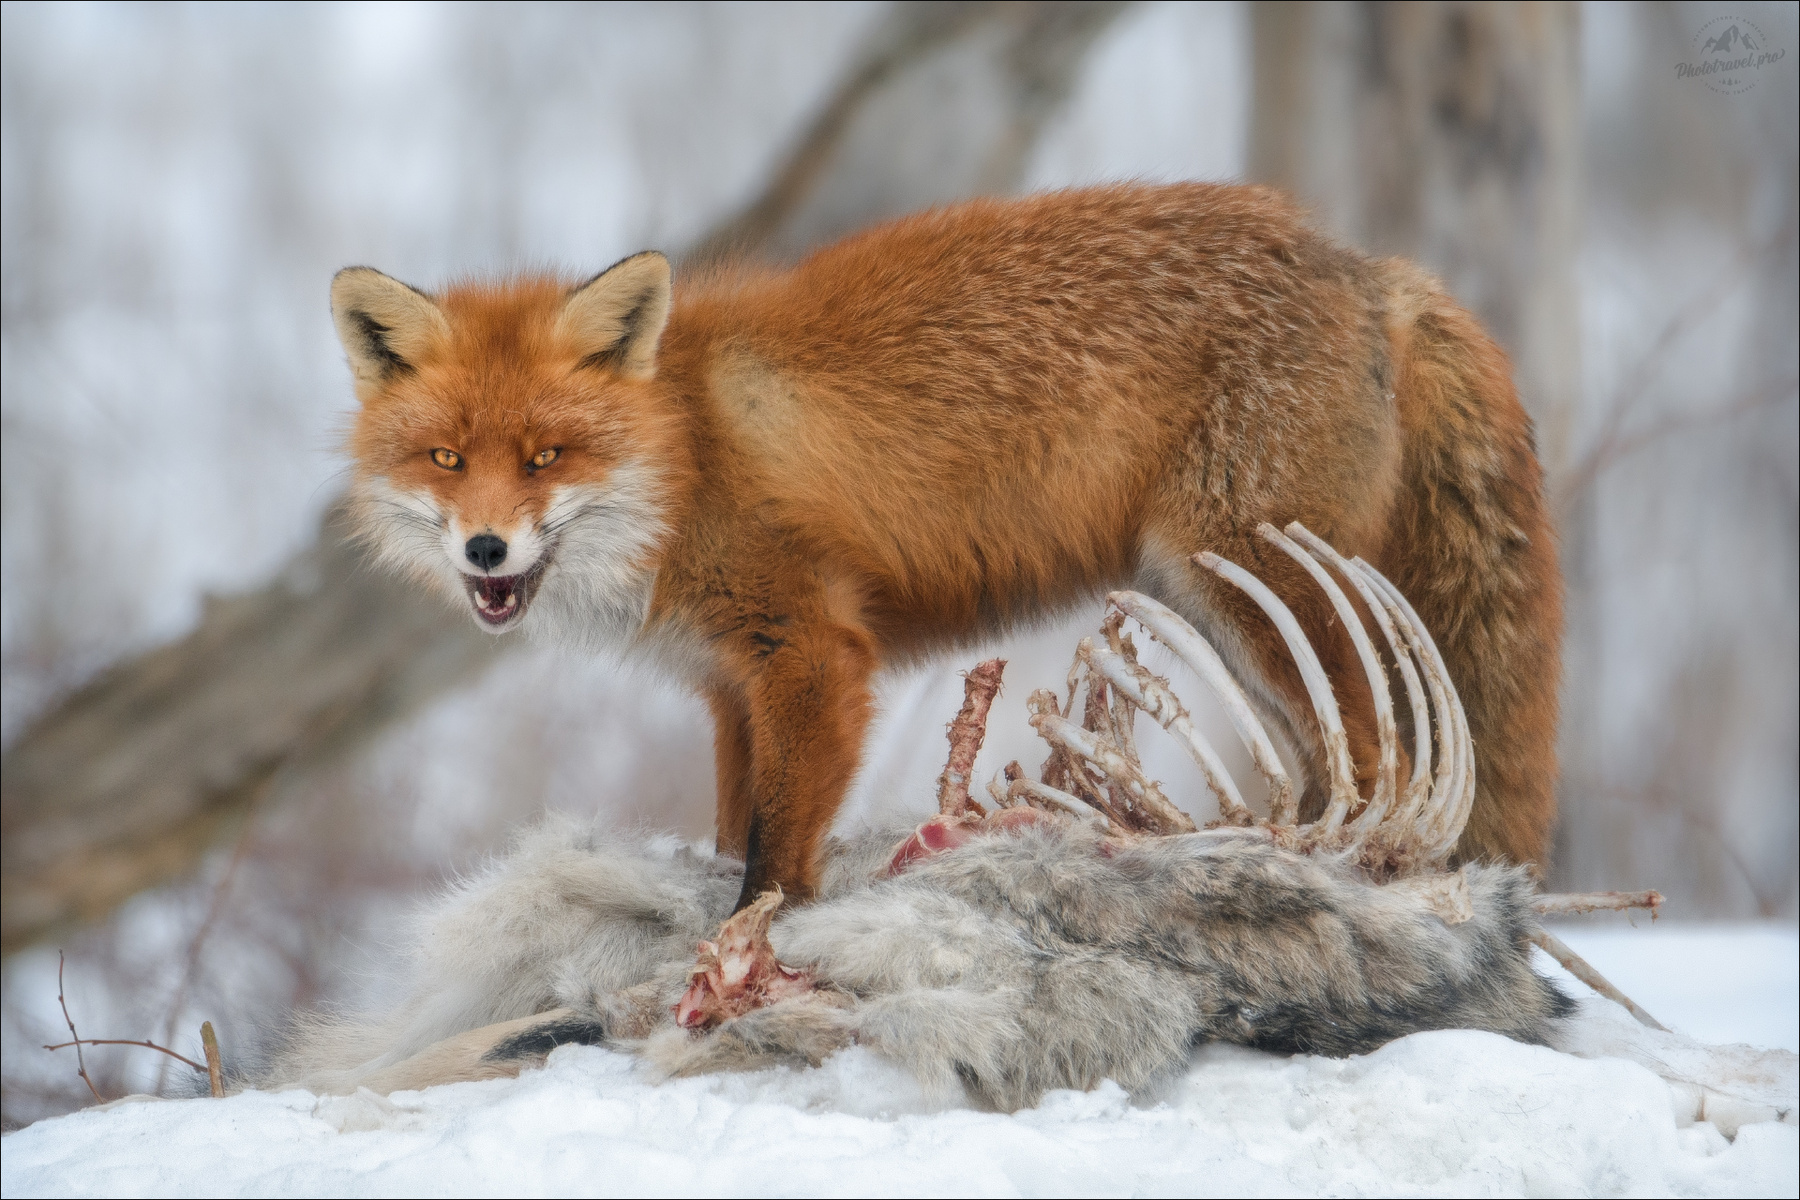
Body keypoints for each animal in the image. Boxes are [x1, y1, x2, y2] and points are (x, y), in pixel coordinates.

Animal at [331, 182, 1562, 911]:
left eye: (548, 456)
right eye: (446, 460)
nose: (488, 552)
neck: (686, 457)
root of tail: (1358, 260)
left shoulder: (814, 654)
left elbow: (774, 864)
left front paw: (743, 963)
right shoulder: (733, 689)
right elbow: (735, 832)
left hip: (1252, 591)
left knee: (1381, 752)